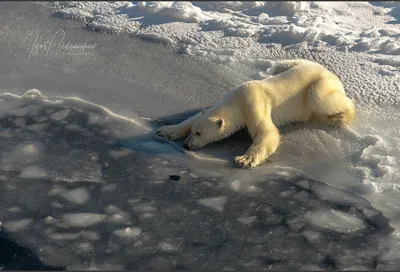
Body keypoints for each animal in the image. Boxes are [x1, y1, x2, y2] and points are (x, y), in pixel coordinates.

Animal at [155, 59, 354, 168]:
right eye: (192, 131)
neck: (238, 99)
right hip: (295, 63)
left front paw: (244, 159)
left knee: (322, 99)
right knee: (280, 65)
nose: (186, 145)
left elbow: (266, 132)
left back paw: (339, 118)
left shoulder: (255, 105)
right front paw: (167, 131)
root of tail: (327, 70)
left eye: (199, 133)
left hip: (317, 86)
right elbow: (195, 116)